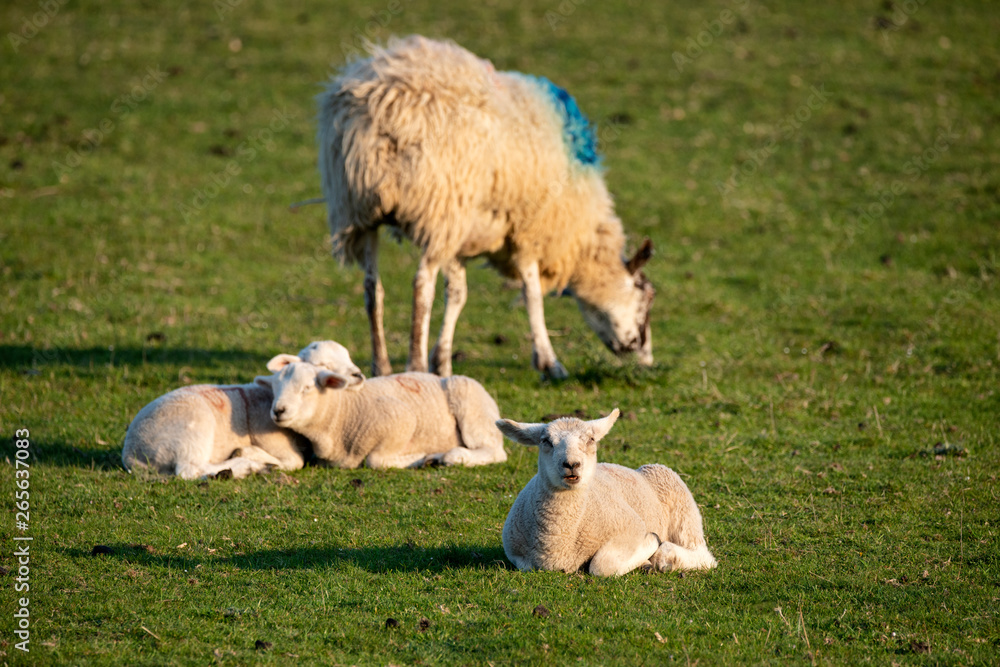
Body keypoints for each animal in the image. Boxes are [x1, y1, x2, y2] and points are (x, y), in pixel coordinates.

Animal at [121, 341, 364, 479]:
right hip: (191, 433)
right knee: (188, 470)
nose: (358, 375)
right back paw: (244, 467)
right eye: (323, 365)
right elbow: (294, 462)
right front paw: (258, 458)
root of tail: (132, 452)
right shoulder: (270, 439)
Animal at [257, 359, 508, 469]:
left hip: (471, 406)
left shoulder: (402, 419)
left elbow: (375, 461)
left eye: (307, 388)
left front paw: (418, 458)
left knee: (494, 451)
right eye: (275, 388)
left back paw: (451, 456)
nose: (278, 410)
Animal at [316, 35, 655, 380]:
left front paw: (443, 362)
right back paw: (415, 364)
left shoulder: (463, 235)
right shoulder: (526, 228)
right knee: (421, 286)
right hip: (438, 208)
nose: (645, 356)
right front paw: (549, 362)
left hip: (358, 209)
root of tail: (382, 108)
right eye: (646, 297)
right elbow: (531, 295)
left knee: (373, 288)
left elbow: (457, 295)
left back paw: (382, 366)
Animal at [496, 408, 717, 576]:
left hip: (683, 509)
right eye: (546, 441)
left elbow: (601, 566)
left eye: (591, 439)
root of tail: (638, 470)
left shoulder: (632, 527)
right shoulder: (517, 555)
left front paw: (652, 544)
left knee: (703, 555)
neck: (558, 540)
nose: (571, 464)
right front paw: (644, 560)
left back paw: (665, 557)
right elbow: (526, 565)